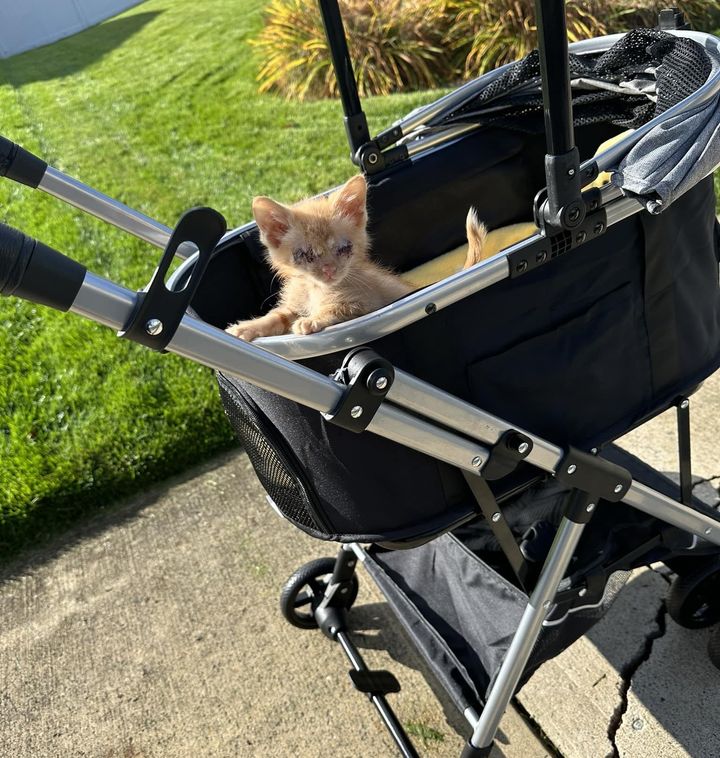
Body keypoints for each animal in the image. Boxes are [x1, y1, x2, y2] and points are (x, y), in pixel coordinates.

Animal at [225, 175, 416, 342]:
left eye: (344, 248)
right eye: (305, 254)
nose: (329, 269)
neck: (314, 289)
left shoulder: (369, 303)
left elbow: (339, 308)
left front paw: (312, 319)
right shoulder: (294, 305)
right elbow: (277, 315)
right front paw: (247, 327)